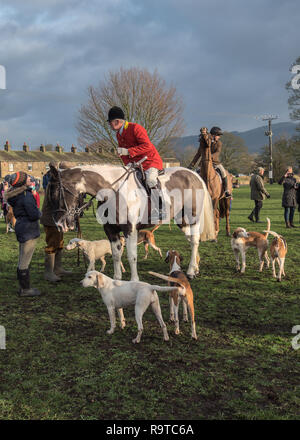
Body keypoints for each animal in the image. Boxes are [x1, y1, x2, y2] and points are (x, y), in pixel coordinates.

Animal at [48, 163, 214, 280]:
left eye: (56, 193)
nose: (59, 224)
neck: (113, 191)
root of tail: (194, 174)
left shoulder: (130, 230)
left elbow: (131, 256)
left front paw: (134, 280)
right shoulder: (110, 231)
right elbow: (116, 255)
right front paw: (116, 279)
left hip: (192, 218)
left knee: (194, 241)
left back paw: (191, 271)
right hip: (182, 220)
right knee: (192, 240)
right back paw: (196, 267)